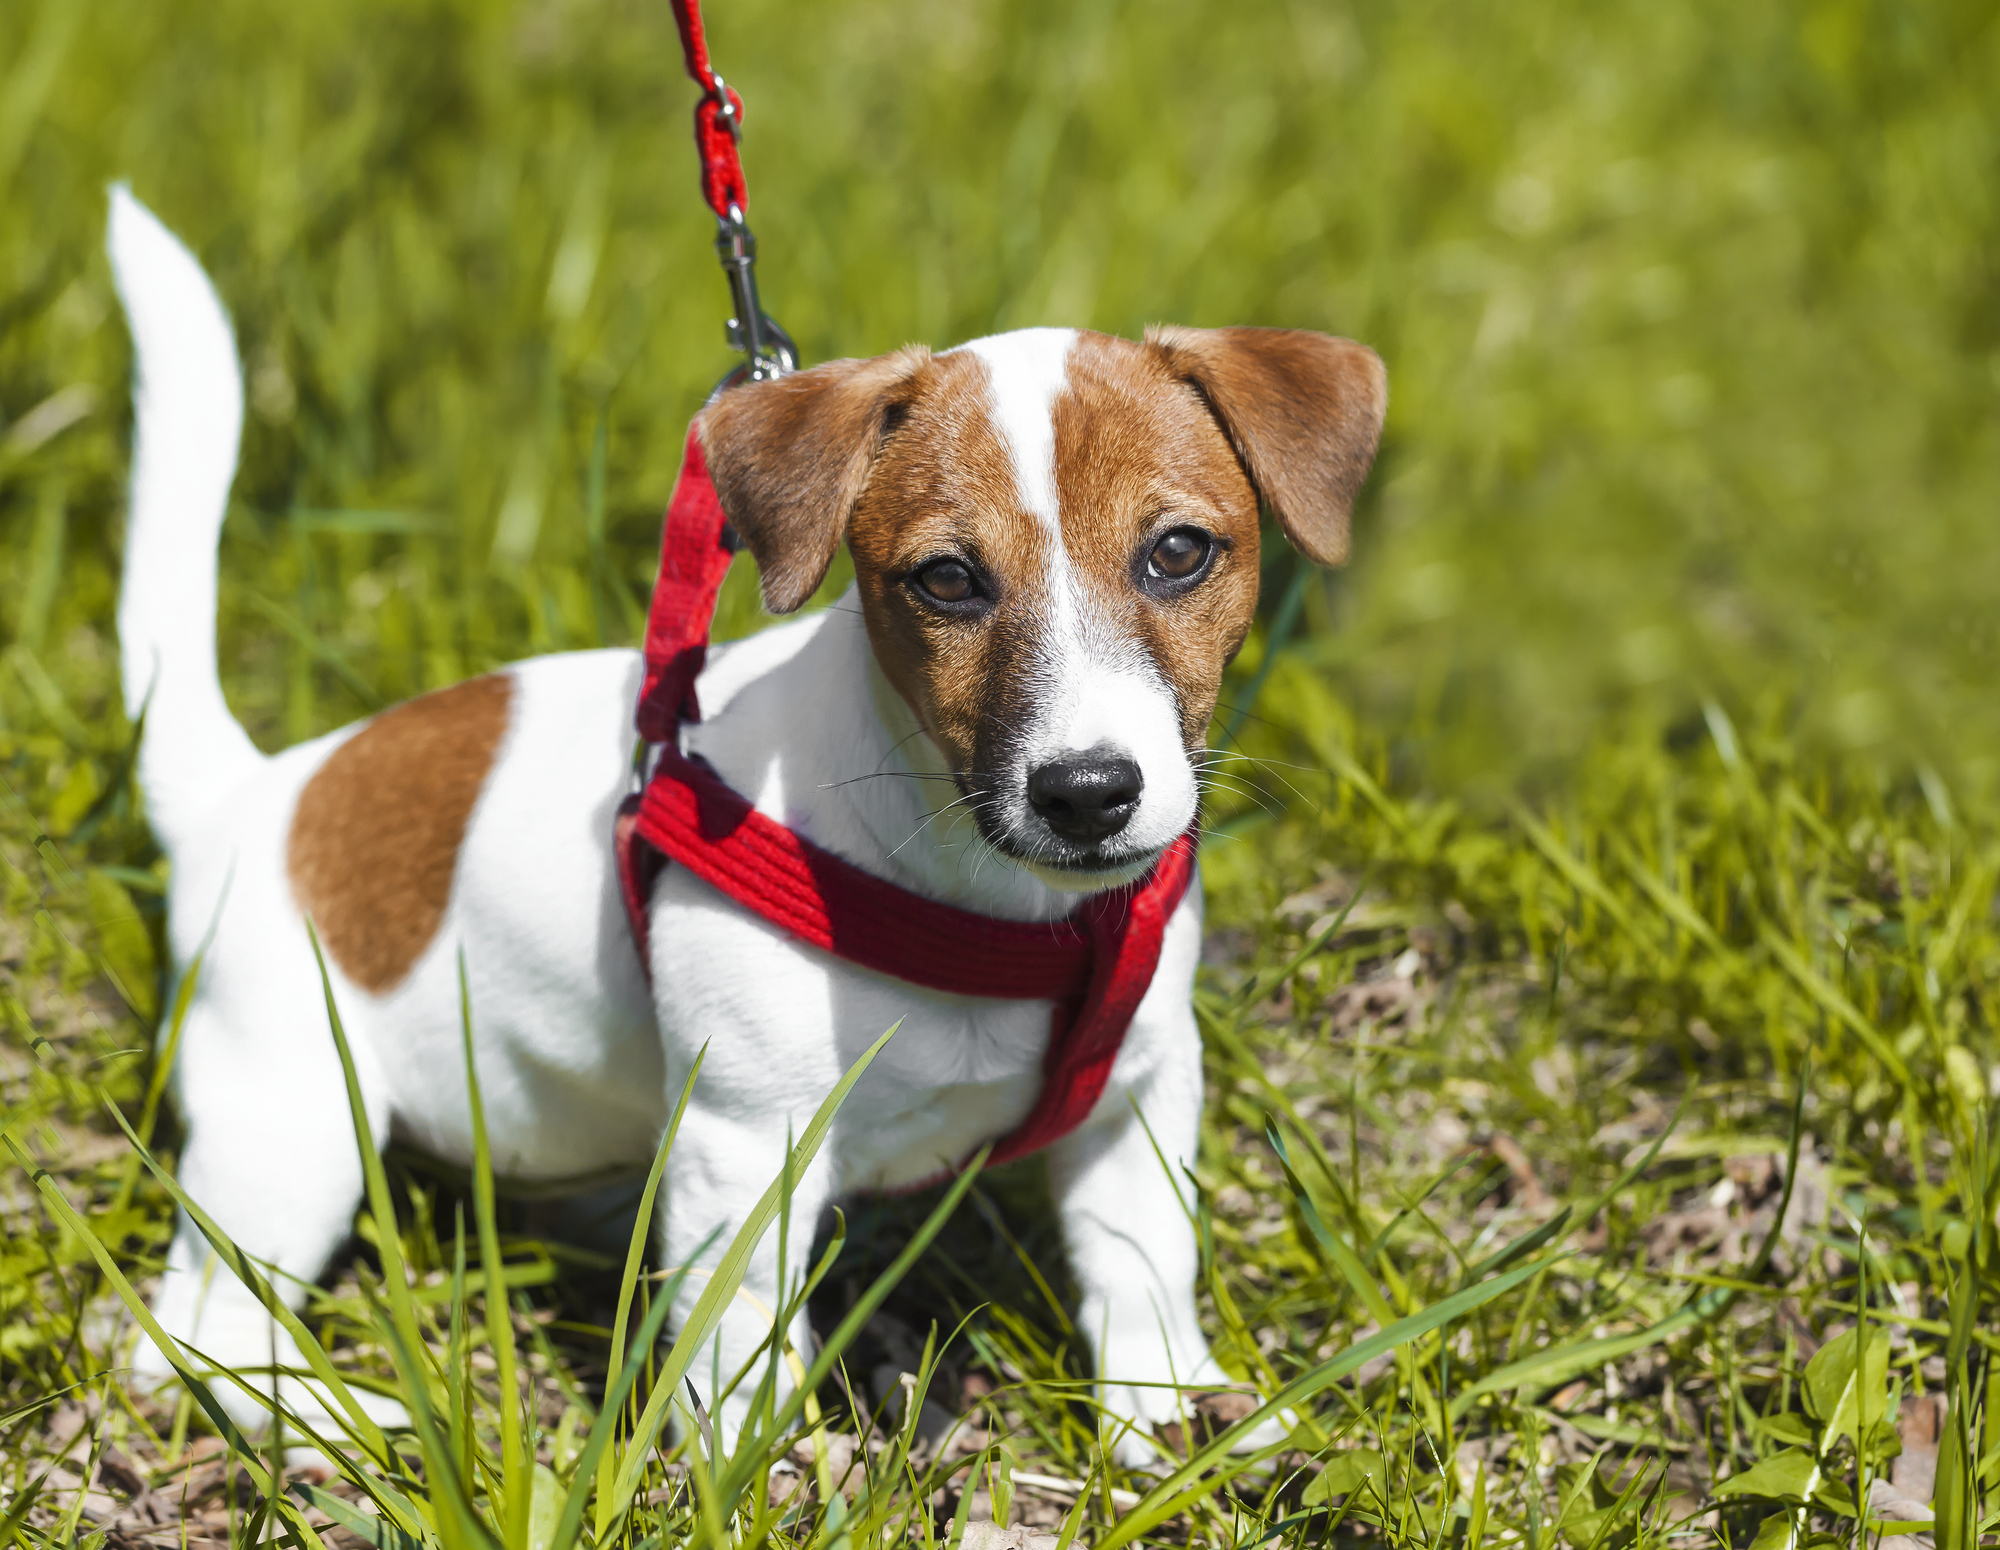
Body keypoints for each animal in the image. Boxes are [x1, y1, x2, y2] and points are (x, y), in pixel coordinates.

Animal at [105, 188, 1392, 1464]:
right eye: (946, 579)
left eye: (1177, 552)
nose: (1085, 791)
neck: (994, 901)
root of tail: (246, 794)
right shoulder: (744, 1148)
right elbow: (738, 1352)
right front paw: (762, 1477)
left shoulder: (1137, 1093)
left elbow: (1142, 1266)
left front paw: (1175, 1418)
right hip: (291, 1111)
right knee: (189, 1325)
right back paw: (332, 1422)